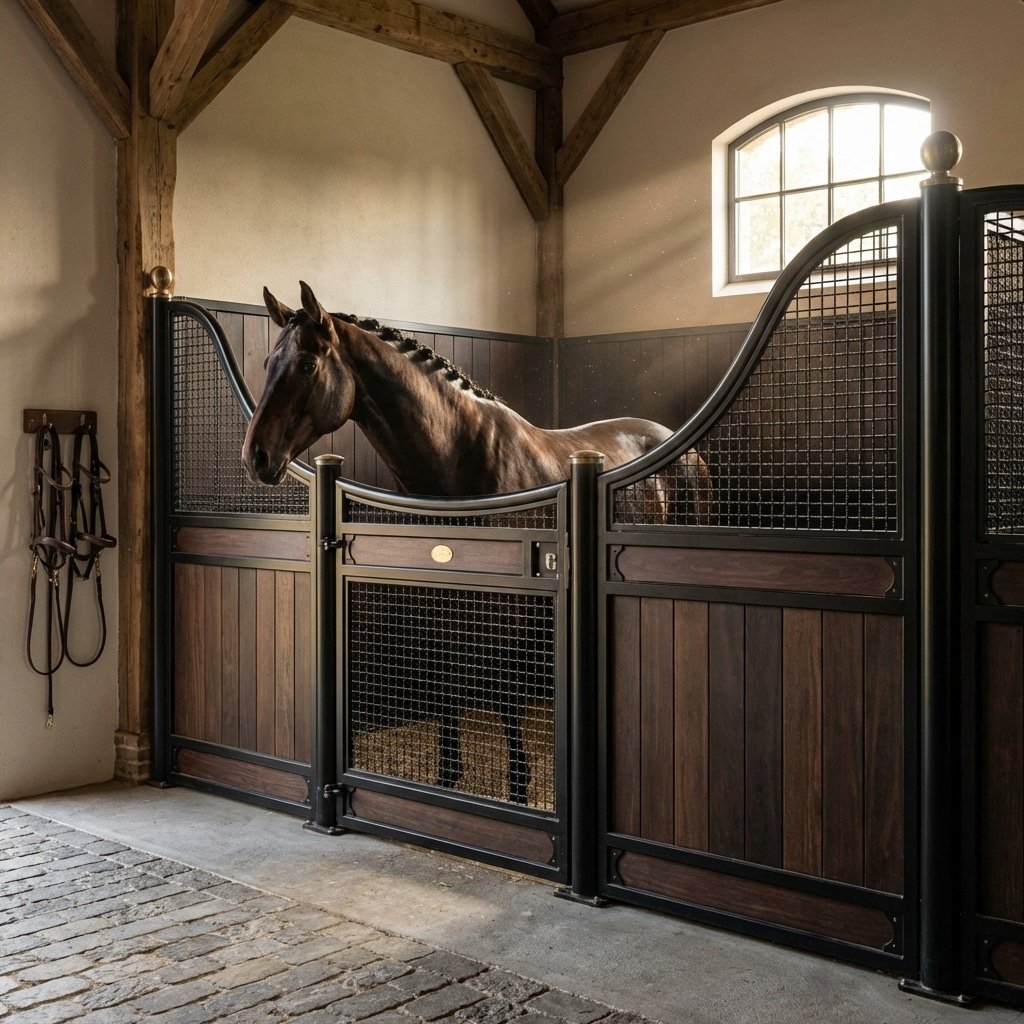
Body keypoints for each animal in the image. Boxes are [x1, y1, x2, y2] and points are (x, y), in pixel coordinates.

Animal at [242, 282, 712, 804]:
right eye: (269, 363)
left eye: (307, 365)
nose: (256, 456)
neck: (461, 456)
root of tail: (675, 442)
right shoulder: (443, 597)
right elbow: (448, 680)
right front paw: (448, 776)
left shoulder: (506, 602)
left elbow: (505, 692)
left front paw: (519, 788)